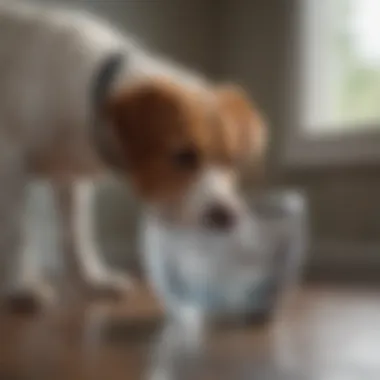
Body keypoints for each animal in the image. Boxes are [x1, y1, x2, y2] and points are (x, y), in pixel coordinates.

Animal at [0, 1, 268, 310]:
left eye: (232, 160)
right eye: (184, 156)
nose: (227, 218)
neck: (88, 96)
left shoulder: (70, 180)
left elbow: (77, 235)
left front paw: (92, 282)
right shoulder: (9, 162)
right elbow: (18, 232)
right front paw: (21, 287)